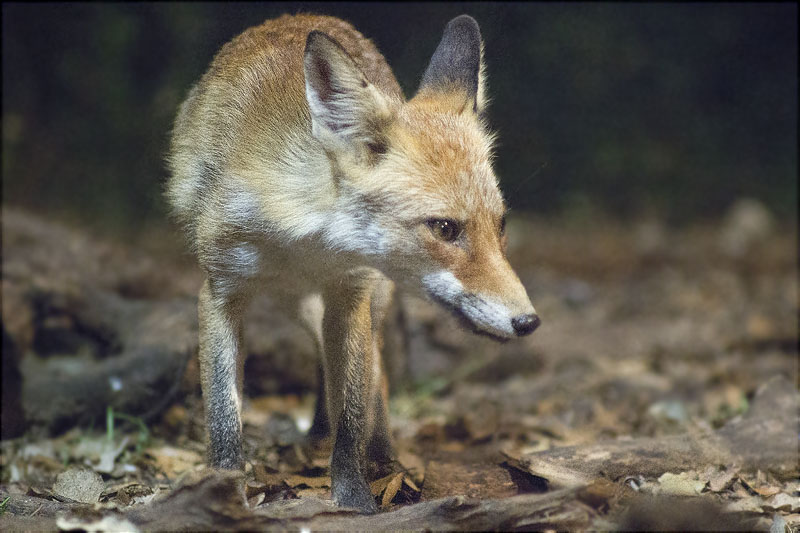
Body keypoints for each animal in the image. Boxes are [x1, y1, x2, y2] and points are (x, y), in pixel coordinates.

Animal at [164, 11, 536, 512]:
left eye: (501, 225)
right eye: (444, 228)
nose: (528, 321)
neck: (304, 238)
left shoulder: (354, 291)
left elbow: (354, 415)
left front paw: (355, 497)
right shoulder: (220, 290)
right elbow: (223, 414)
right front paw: (223, 489)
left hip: (366, 302)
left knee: (373, 372)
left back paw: (383, 459)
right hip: (297, 305)